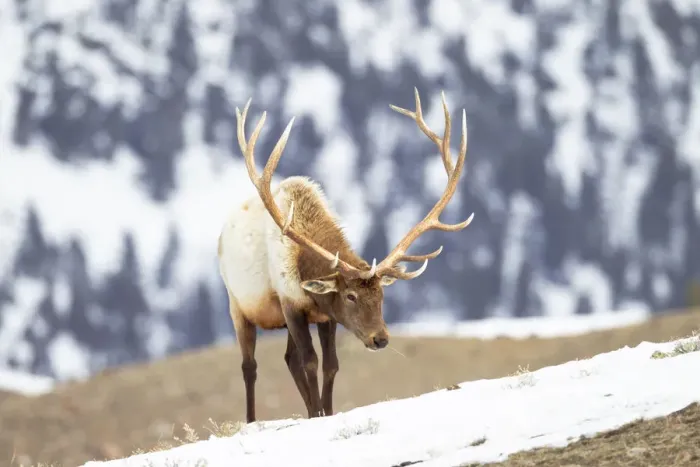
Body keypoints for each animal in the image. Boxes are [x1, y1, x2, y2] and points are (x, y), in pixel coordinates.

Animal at [217, 88, 474, 423]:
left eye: (381, 295)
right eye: (350, 295)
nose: (380, 338)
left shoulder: (325, 315)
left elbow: (330, 365)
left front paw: (325, 411)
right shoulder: (291, 306)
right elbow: (310, 361)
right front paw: (316, 414)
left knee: (288, 358)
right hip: (238, 306)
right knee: (250, 367)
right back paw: (252, 419)